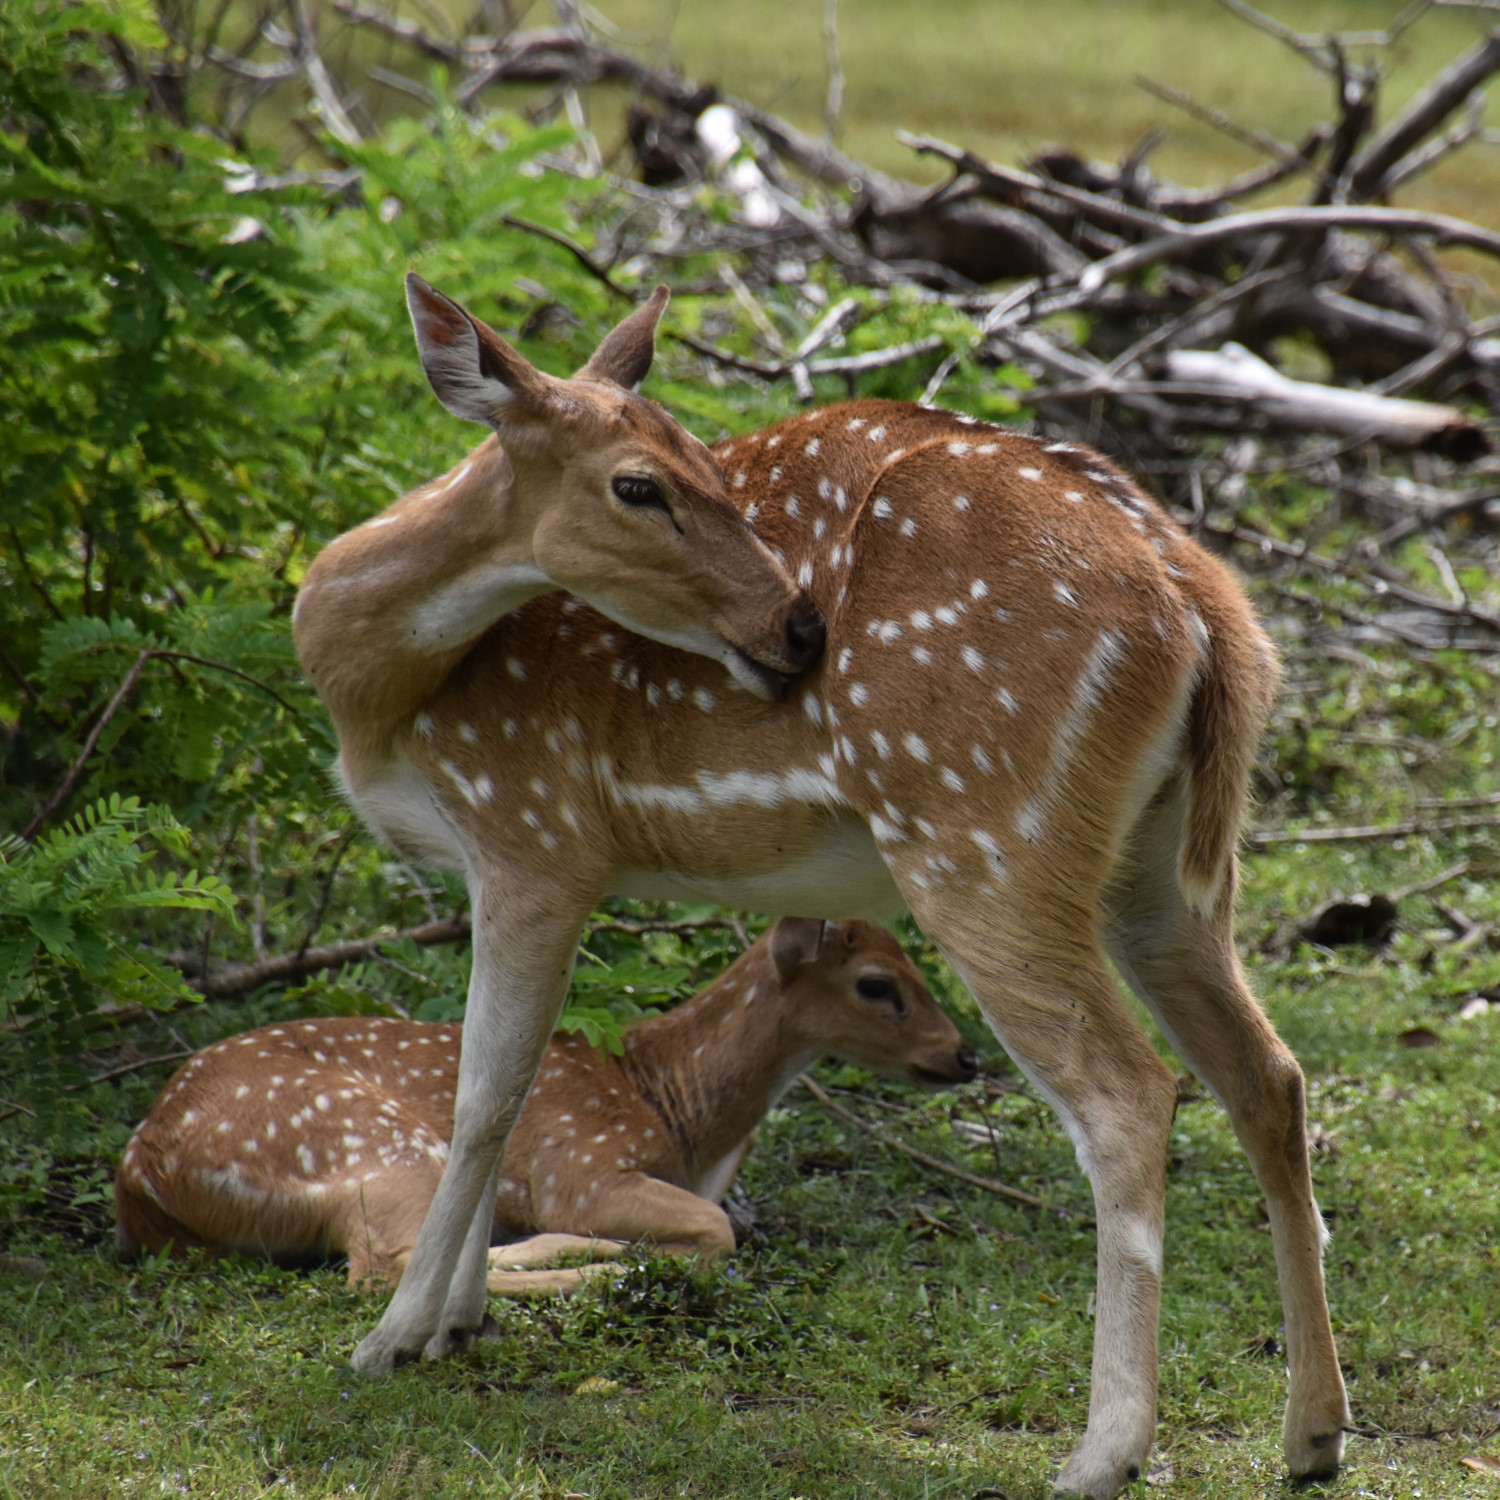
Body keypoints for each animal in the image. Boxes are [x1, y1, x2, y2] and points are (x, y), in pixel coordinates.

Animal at [115, 918, 977, 1293]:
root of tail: (143, 1166)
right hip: (371, 1141)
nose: (965, 1056)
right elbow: (718, 1228)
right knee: (390, 1267)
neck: (673, 1108)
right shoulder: (581, 1166)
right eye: (876, 984)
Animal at [286, 273, 1349, 1498]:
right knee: (1270, 1075)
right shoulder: (516, 864)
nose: (798, 628)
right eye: (643, 481)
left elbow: (483, 1094)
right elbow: (511, 1090)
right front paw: (457, 1324)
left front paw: (398, 1337)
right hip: (1164, 871)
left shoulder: (533, 832)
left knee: (1129, 1093)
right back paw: (1314, 1434)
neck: (382, 700)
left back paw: (1102, 1453)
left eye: (705, 466)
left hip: (979, 830)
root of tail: (1205, 609)